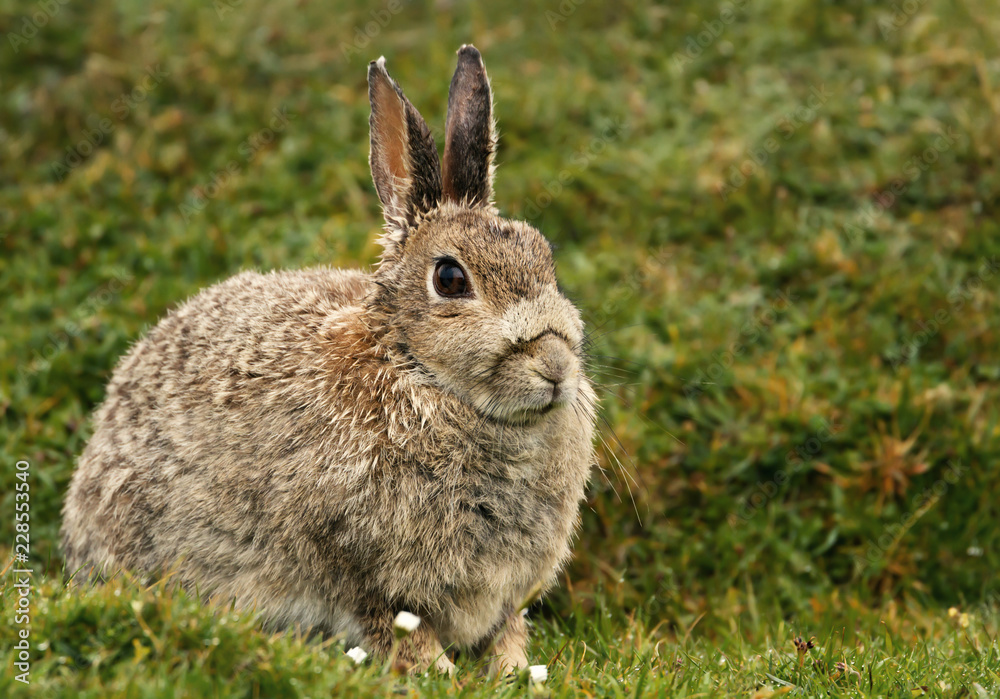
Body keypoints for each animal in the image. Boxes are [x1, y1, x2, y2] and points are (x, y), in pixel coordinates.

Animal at [61, 44, 597, 675]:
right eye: (449, 279)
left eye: (546, 258)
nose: (556, 365)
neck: (413, 370)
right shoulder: (367, 578)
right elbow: (400, 631)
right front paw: (444, 677)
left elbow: (506, 630)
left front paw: (514, 673)